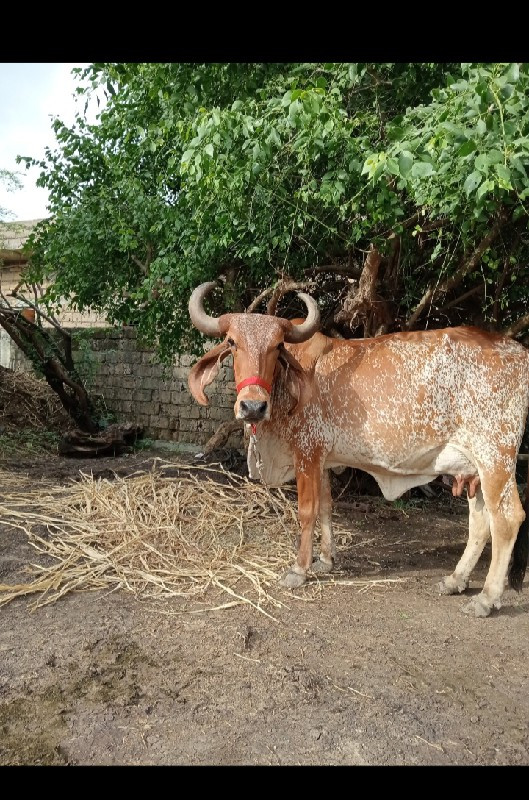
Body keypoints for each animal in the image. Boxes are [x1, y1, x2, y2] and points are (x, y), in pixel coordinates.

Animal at [187, 282, 528, 620]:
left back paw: (486, 598)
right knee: (480, 522)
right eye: (232, 343)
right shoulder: (323, 459)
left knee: (507, 519)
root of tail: (520, 351)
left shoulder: (307, 452)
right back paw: (455, 580)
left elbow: (307, 510)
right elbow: (326, 507)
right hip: (473, 468)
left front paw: (299, 569)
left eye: (277, 345)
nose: (252, 406)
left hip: (495, 457)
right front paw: (326, 560)